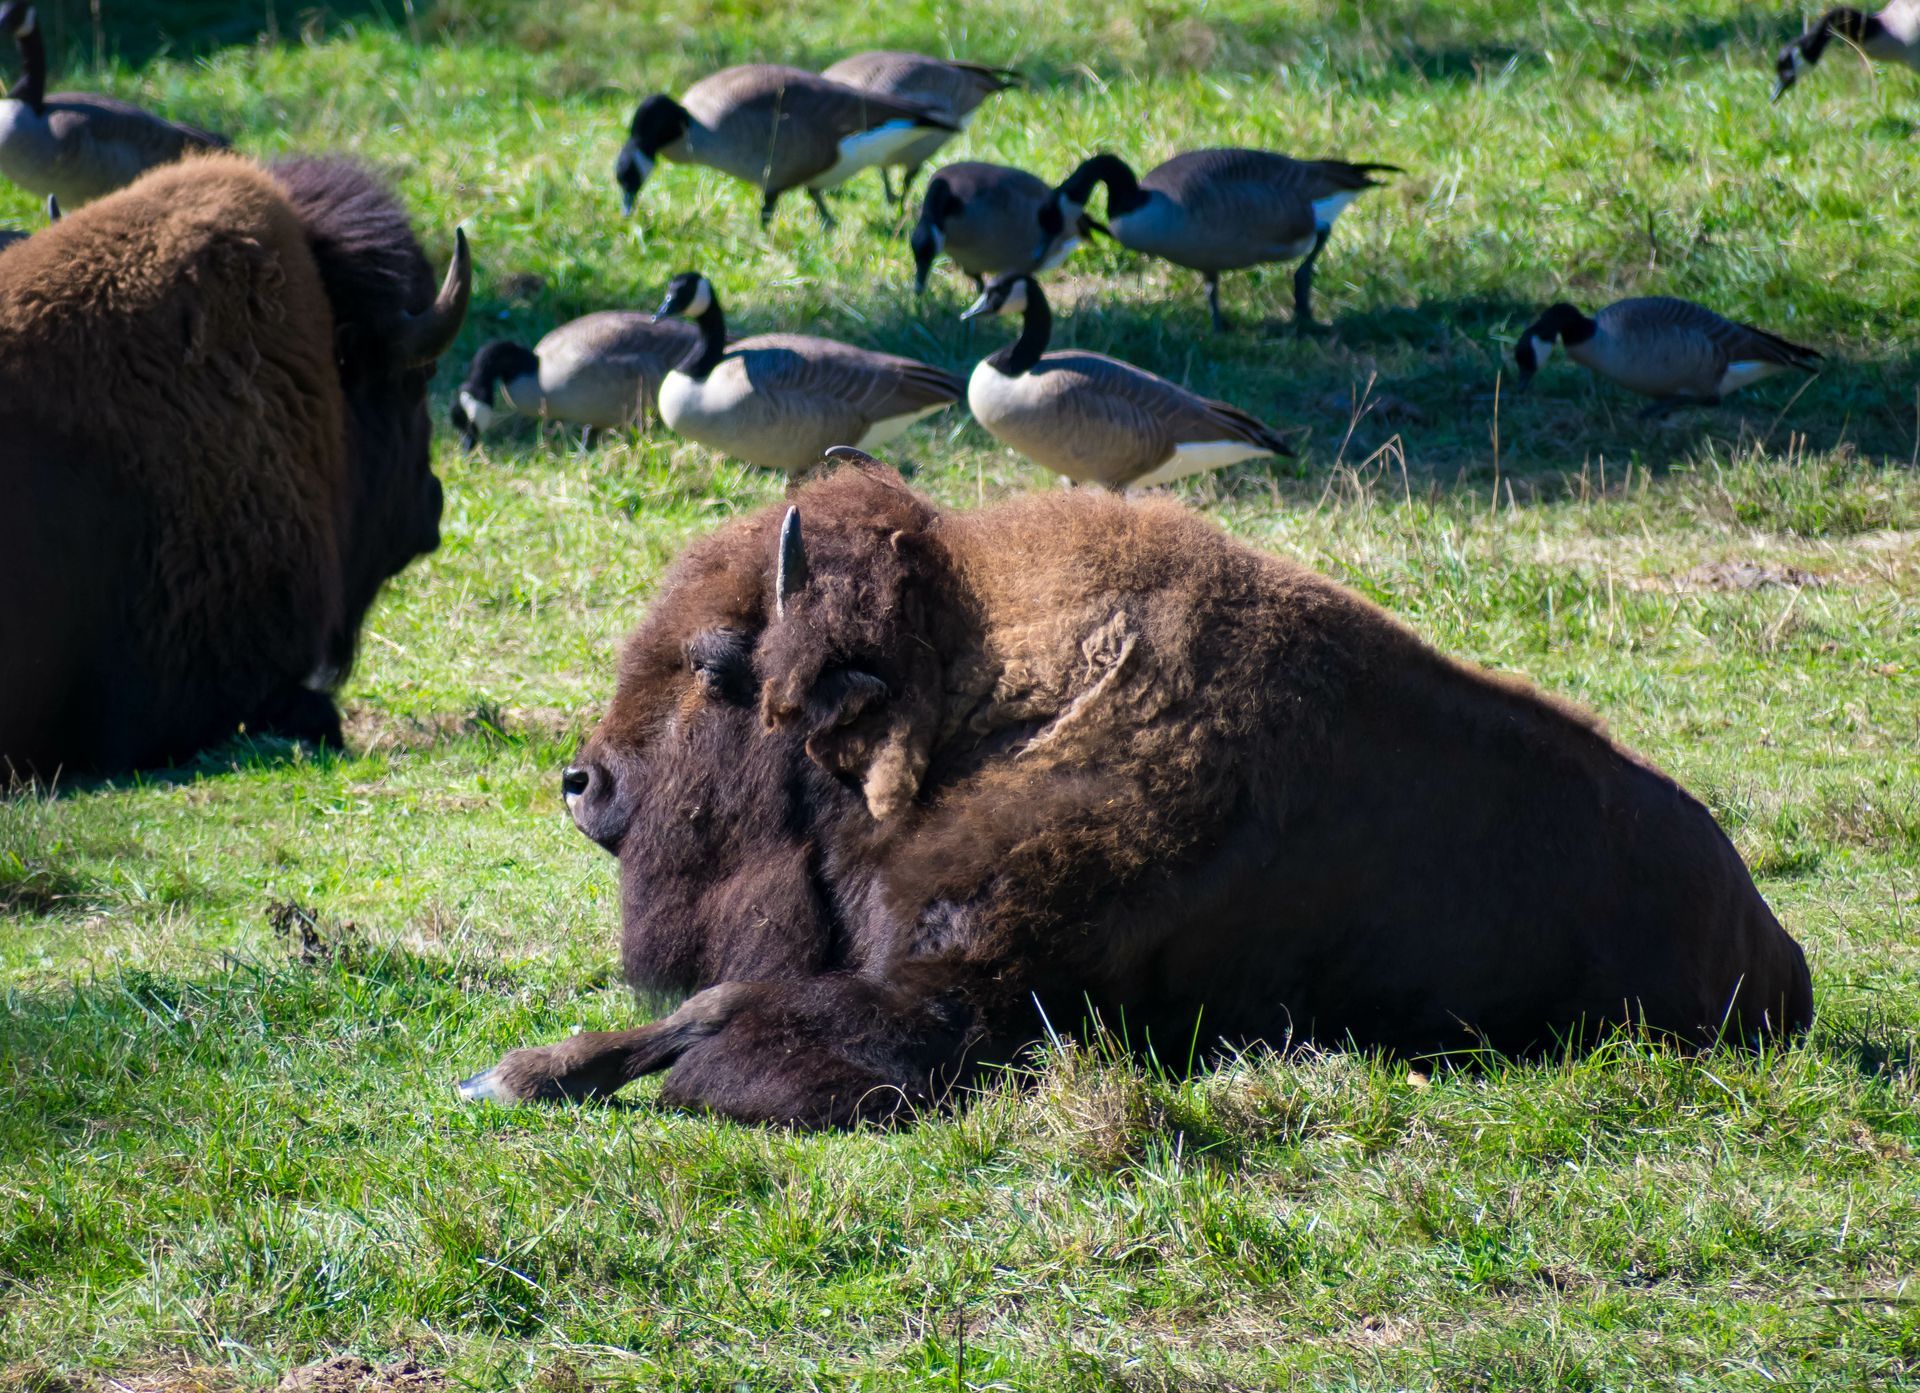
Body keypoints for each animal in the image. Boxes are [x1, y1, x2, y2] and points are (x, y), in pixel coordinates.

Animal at [464, 452, 1812, 1128]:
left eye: (712, 662)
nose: (584, 783)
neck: (971, 712)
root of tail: (1775, 943)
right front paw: (530, 1068)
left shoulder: (971, 999)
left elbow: (728, 1008)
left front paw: (526, 1072)